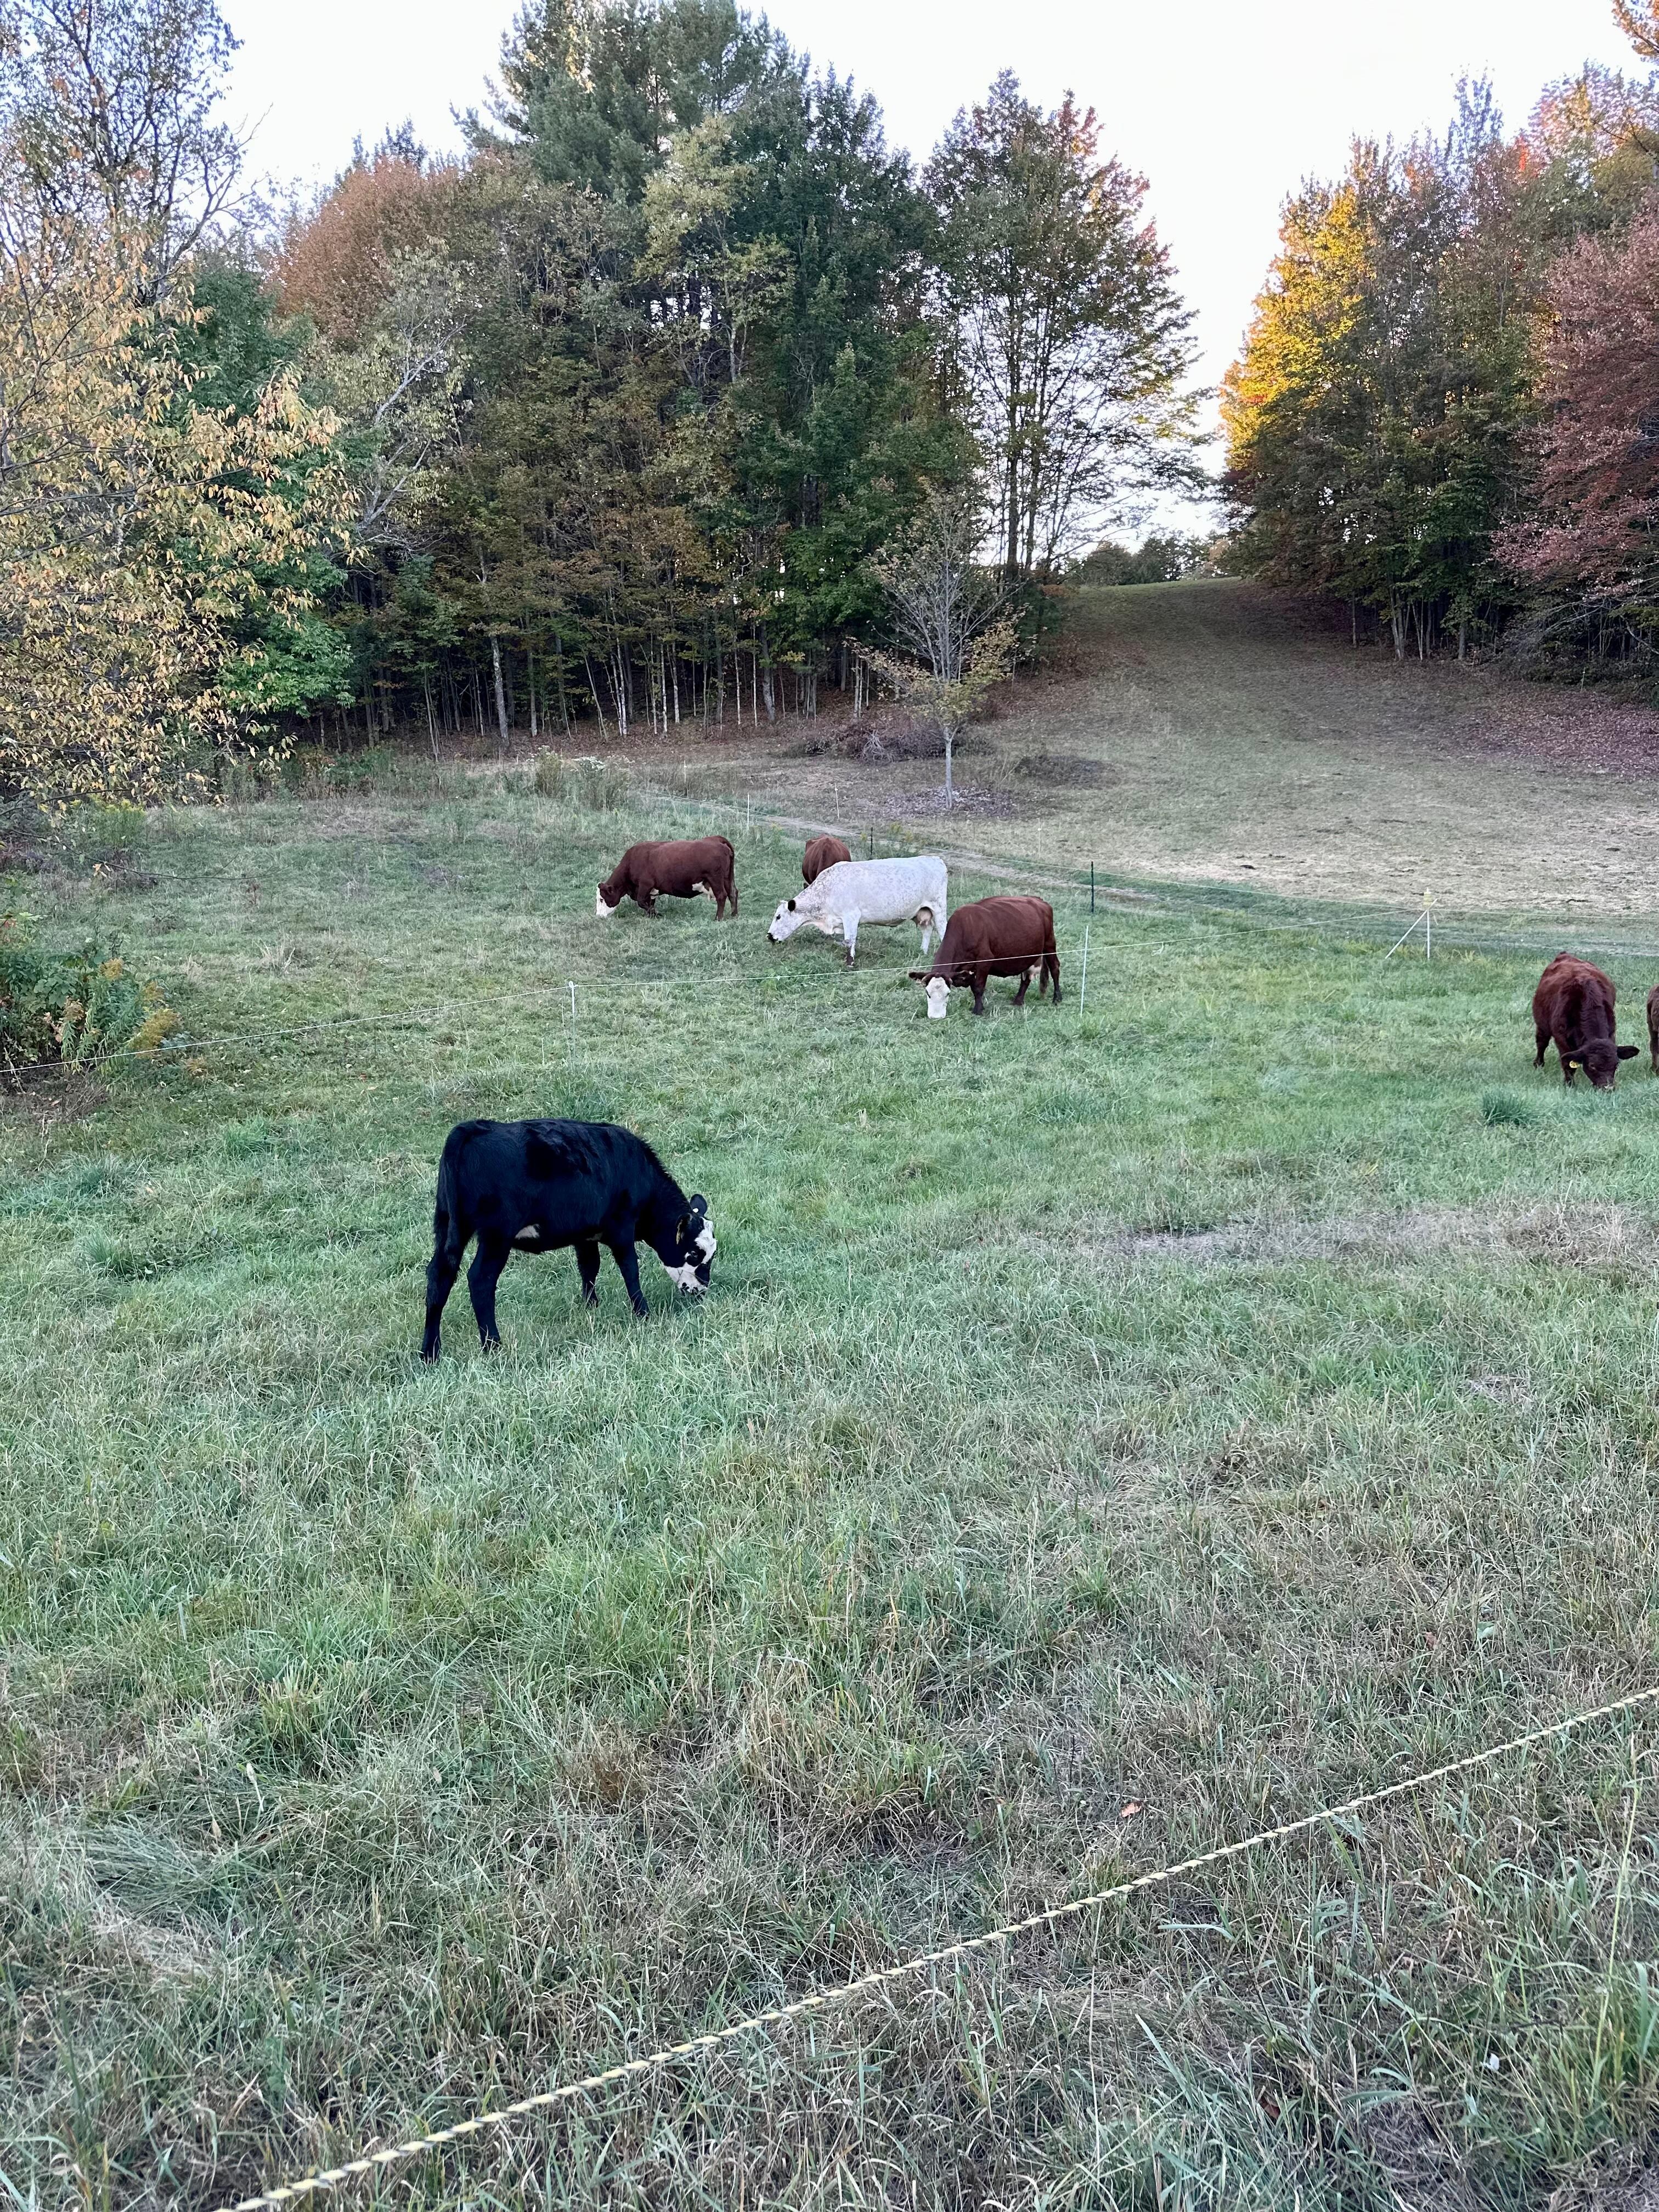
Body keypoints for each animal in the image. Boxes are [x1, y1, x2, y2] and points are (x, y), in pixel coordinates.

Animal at [421, 1118, 715, 1360]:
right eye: (694, 1254)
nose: (702, 1289)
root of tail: (473, 1128)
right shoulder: (622, 1228)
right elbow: (630, 1269)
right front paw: (643, 1312)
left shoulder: (585, 1235)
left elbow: (589, 1267)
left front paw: (591, 1307)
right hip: (496, 1237)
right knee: (481, 1281)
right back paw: (493, 1346)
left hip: (449, 1228)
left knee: (439, 1278)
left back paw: (430, 1353)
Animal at [597, 837, 736, 919]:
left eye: (602, 899)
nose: (599, 916)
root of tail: (716, 840)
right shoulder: (651, 890)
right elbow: (650, 902)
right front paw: (651, 915)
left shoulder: (645, 884)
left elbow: (641, 902)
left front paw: (657, 914)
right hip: (727, 878)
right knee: (733, 893)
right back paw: (734, 915)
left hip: (716, 879)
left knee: (722, 896)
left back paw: (718, 918)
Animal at [767, 855, 946, 965]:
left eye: (778, 917)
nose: (769, 936)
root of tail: (935, 859)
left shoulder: (851, 916)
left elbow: (850, 940)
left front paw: (850, 963)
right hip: (921, 912)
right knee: (927, 929)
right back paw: (923, 952)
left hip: (939, 908)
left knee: (942, 930)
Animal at [910, 895, 1061, 1019]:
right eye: (928, 993)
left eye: (947, 993)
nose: (936, 1017)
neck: (965, 930)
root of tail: (1039, 901)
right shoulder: (970, 969)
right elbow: (974, 986)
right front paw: (981, 1006)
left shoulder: (985, 961)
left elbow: (978, 987)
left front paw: (977, 1010)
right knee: (1026, 977)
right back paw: (1018, 1000)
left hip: (1049, 943)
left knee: (1055, 968)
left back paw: (1057, 998)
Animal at [1532, 952, 1638, 1089]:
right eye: (1592, 1066)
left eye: (1616, 1064)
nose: (1608, 1088)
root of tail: (1565, 955)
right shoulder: (1562, 1039)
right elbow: (1568, 1064)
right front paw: (1569, 1084)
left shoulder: (1612, 1033)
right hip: (1542, 1024)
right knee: (1542, 1042)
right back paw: (1538, 1064)